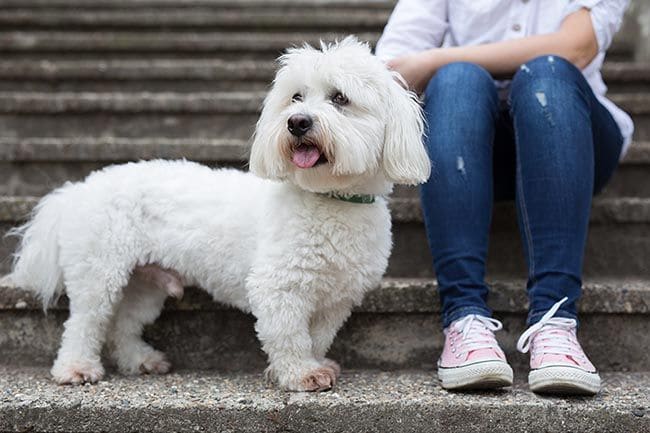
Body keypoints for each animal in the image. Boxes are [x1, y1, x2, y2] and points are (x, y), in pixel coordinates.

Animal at [1, 36, 430, 388]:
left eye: (340, 98)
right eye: (295, 98)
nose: (297, 123)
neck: (330, 199)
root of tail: (79, 188)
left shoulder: (338, 298)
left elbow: (318, 335)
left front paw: (314, 363)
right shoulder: (278, 286)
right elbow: (289, 335)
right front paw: (300, 374)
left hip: (144, 283)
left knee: (123, 324)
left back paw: (139, 360)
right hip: (99, 270)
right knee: (85, 322)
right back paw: (75, 368)